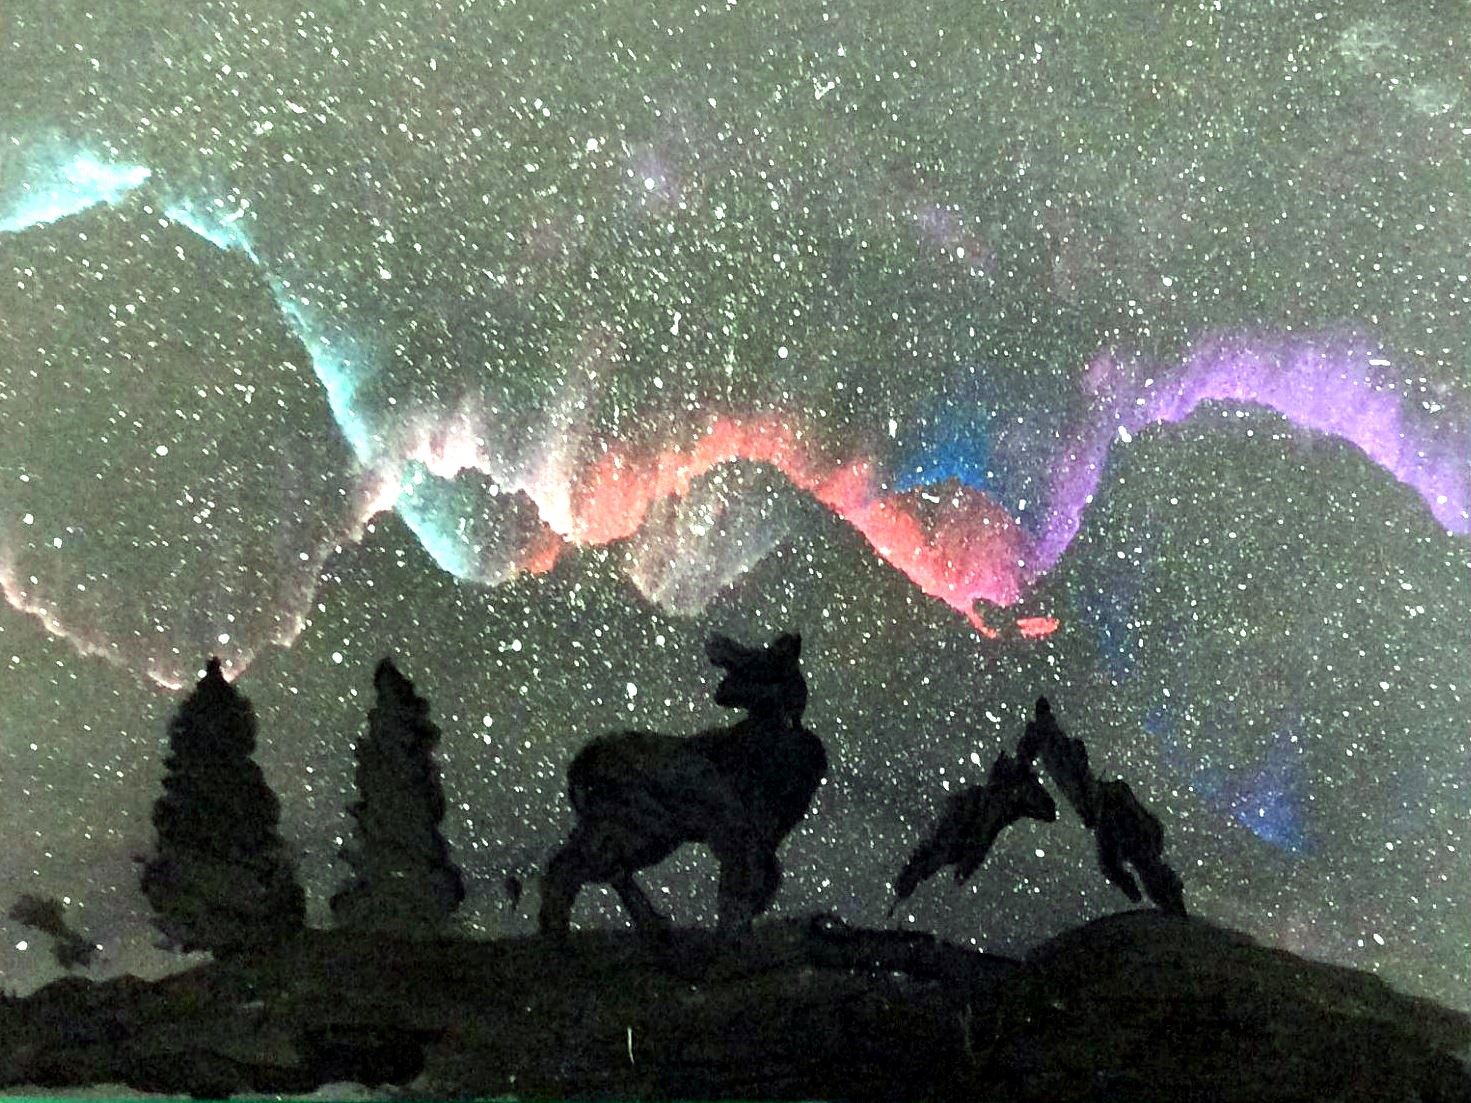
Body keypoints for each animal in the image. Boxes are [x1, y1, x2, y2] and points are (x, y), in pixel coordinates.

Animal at [538, 631, 828, 941]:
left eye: (754, 656)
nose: (715, 642)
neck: (781, 729)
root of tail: (578, 765)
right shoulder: (737, 827)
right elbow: (740, 885)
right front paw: (732, 935)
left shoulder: (765, 833)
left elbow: (763, 880)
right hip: (646, 824)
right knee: (576, 867)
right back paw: (560, 934)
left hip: (626, 825)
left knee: (592, 866)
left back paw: (648, 924)